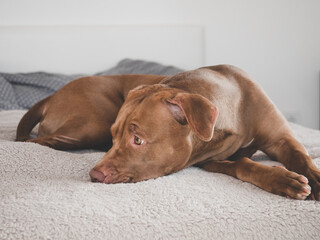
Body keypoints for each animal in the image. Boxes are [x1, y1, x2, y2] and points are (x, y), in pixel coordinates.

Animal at [16, 64, 320, 200]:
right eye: (116, 137)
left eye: (137, 139)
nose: (95, 175)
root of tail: (52, 95)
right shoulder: (210, 160)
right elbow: (244, 164)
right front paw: (283, 180)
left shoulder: (282, 138)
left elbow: (301, 156)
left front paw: (314, 179)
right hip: (93, 124)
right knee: (38, 141)